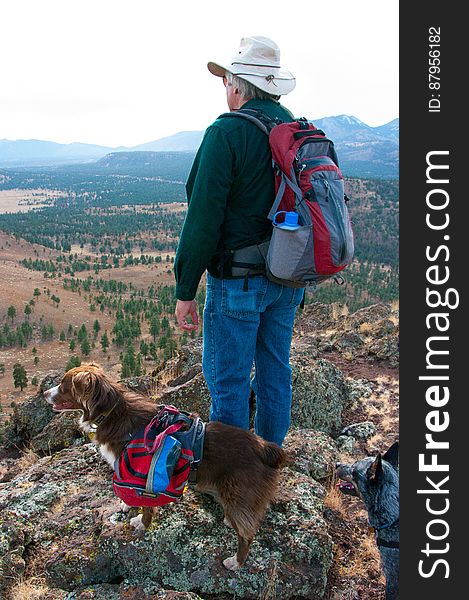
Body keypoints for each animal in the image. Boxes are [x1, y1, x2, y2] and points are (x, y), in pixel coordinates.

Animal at [44, 364, 286, 568]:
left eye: (64, 385)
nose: (44, 394)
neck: (111, 413)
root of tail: (264, 446)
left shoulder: (143, 473)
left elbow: (146, 506)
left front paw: (142, 523)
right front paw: (125, 505)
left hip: (239, 491)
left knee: (247, 534)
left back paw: (236, 561)